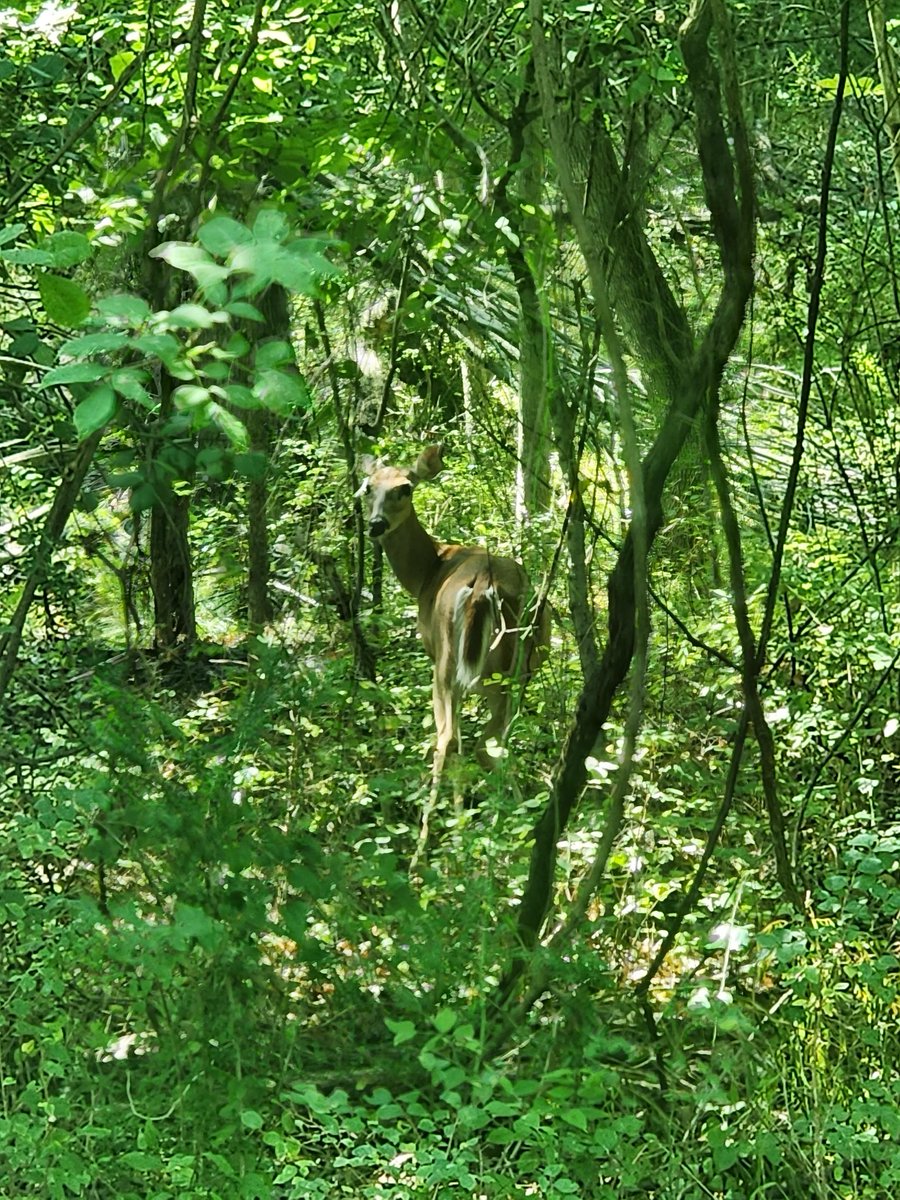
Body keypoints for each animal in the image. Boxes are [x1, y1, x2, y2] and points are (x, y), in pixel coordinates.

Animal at [356, 444, 550, 788]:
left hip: (447, 664)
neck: (428, 571)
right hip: (518, 670)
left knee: (448, 741)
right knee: (493, 745)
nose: (376, 523)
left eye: (405, 488)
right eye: (368, 488)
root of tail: (485, 583)